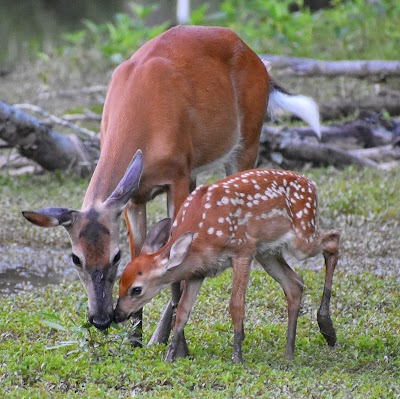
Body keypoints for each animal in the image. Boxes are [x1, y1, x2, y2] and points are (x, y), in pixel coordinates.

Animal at [22, 26, 322, 342]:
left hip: (246, 142)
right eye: (75, 258)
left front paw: (168, 339)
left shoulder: (176, 175)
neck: (143, 120)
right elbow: (142, 252)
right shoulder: (134, 197)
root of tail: (258, 59)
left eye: (115, 256)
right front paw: (136, 339)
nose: (101, 319)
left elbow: (174, 258)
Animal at [114, 170, 340, 364]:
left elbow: (236, 305)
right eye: (120, 283)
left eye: (136, 289)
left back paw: (327, 329)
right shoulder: (198, 271)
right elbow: (182, 312)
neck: (201, 235)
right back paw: (289, 353)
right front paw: (170, 357)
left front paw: (237, 357)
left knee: (333, 239)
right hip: (267, 253)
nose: (117, 314)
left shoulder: (242, 250)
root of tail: (311, 184)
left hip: (301, 238)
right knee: (295, 284)